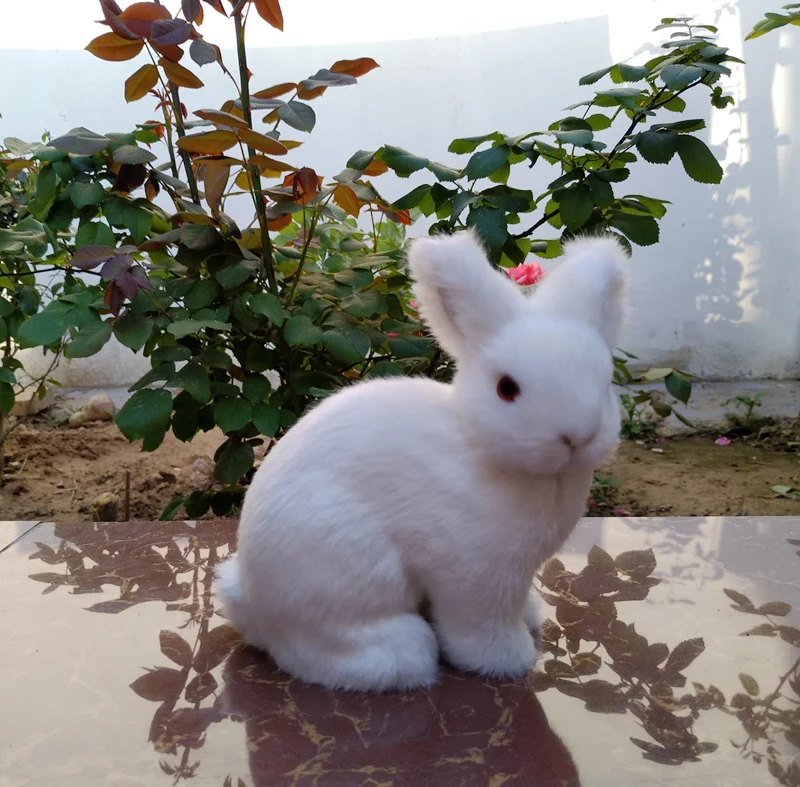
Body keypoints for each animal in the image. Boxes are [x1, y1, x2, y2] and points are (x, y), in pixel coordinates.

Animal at [216, 229, 627, 693]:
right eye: (506, 388)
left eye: (605, 381)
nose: (577, 436)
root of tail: (249, 595)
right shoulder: (476, 575)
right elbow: (478, 626)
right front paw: (507, 659)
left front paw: (531, 616)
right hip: (350, 571)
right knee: (307, 645)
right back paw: (402, 658)